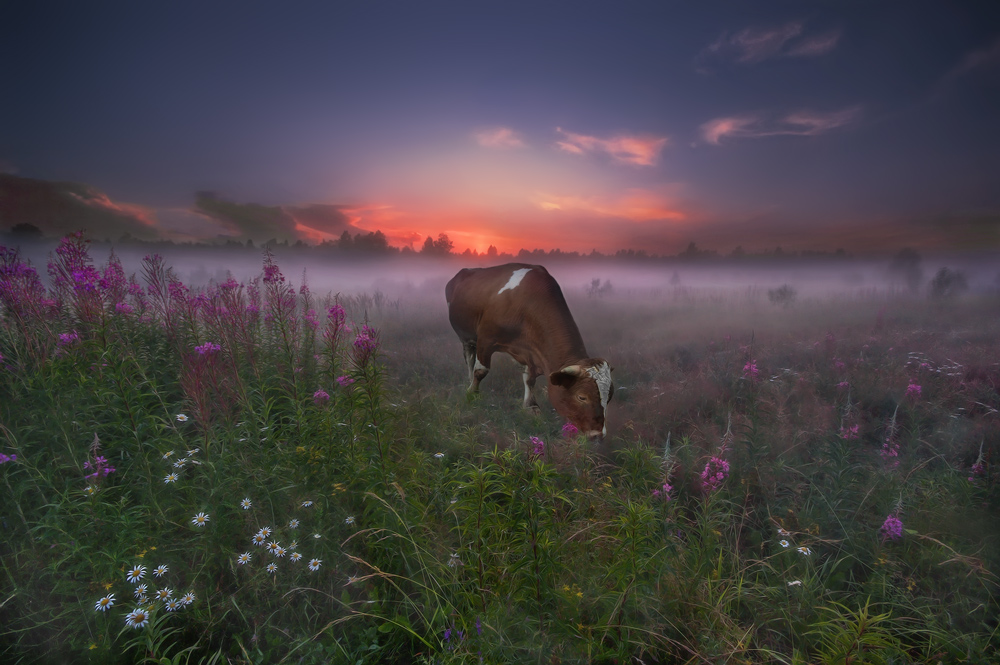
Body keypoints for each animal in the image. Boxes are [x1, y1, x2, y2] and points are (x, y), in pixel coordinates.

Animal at [448, 262, 616, 438]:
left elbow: (529, 379)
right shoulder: (486, 339)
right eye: (581, 397)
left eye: (609, 397)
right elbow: (481, 371)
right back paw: (468, 379)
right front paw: (472, 394)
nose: (598, 434)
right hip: (466, 335)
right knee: (469, 358)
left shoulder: (531, 352)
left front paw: (531, 406)